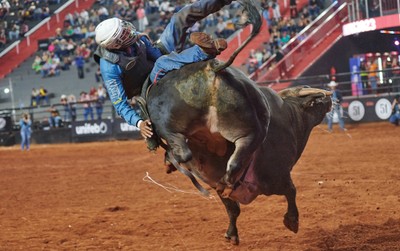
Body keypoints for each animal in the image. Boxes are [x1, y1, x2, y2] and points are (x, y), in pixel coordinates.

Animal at [139, 0, 332, 244]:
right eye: (315, 102)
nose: (329, 98)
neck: (291, 116)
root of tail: (211, 69)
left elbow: (239, 205)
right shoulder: (279, 174)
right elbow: (287, 192)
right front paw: (291, 221)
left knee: (208, 149)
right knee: (231, 147)